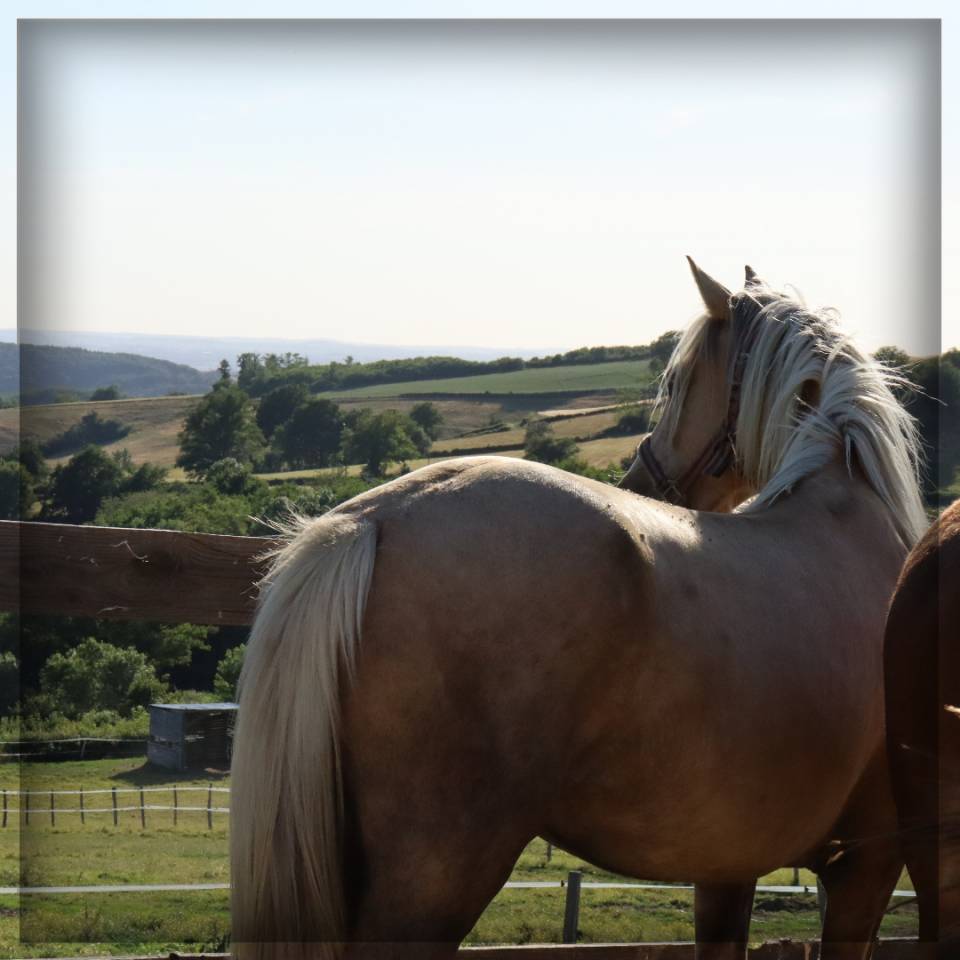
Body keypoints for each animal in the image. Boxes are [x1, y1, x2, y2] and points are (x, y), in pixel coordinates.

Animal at [230, 259, 927, 960]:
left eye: (676, 381)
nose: (641, 482)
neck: (847, 513)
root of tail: (376, 517)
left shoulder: (733, 865)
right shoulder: (868, 863)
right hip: (435, 879)